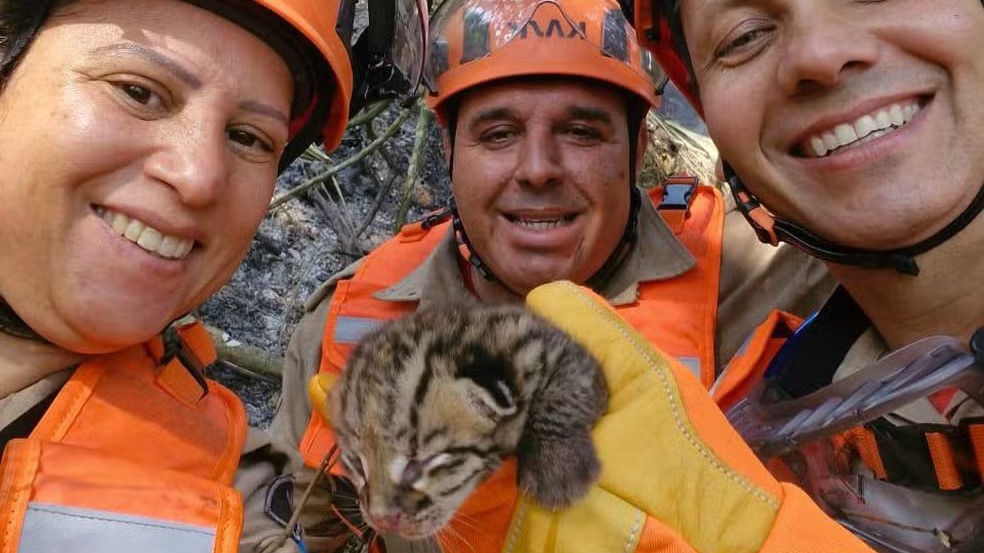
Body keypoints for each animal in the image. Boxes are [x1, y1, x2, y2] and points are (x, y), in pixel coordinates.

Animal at [330, 304, 608, 536]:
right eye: (356, 463)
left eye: (421, 464)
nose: (380, 520)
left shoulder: (556, 349)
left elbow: (565, 386)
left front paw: (558, 466)